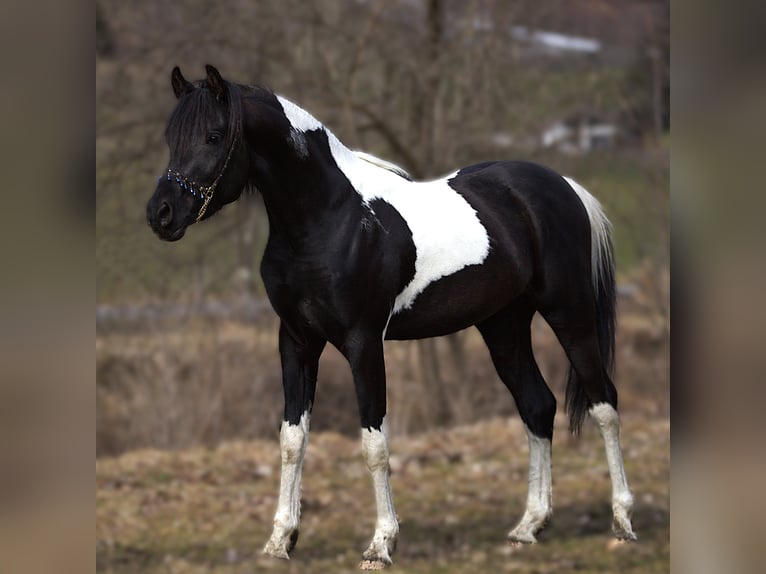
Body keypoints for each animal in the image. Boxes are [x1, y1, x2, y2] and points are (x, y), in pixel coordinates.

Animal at [146, 65, 636, 569]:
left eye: (213, 135)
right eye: (170, 136)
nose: (160, 214)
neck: (331, 218)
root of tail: (564, 186)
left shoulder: (363, 343)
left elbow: (374, 444)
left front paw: (381, 543)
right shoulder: (296, 341)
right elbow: (291, 440)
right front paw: (280, 540)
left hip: (569, 313)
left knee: (604, 402)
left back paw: (622, 521)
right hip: (504, 326)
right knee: (537, 406)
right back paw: (528, 526)